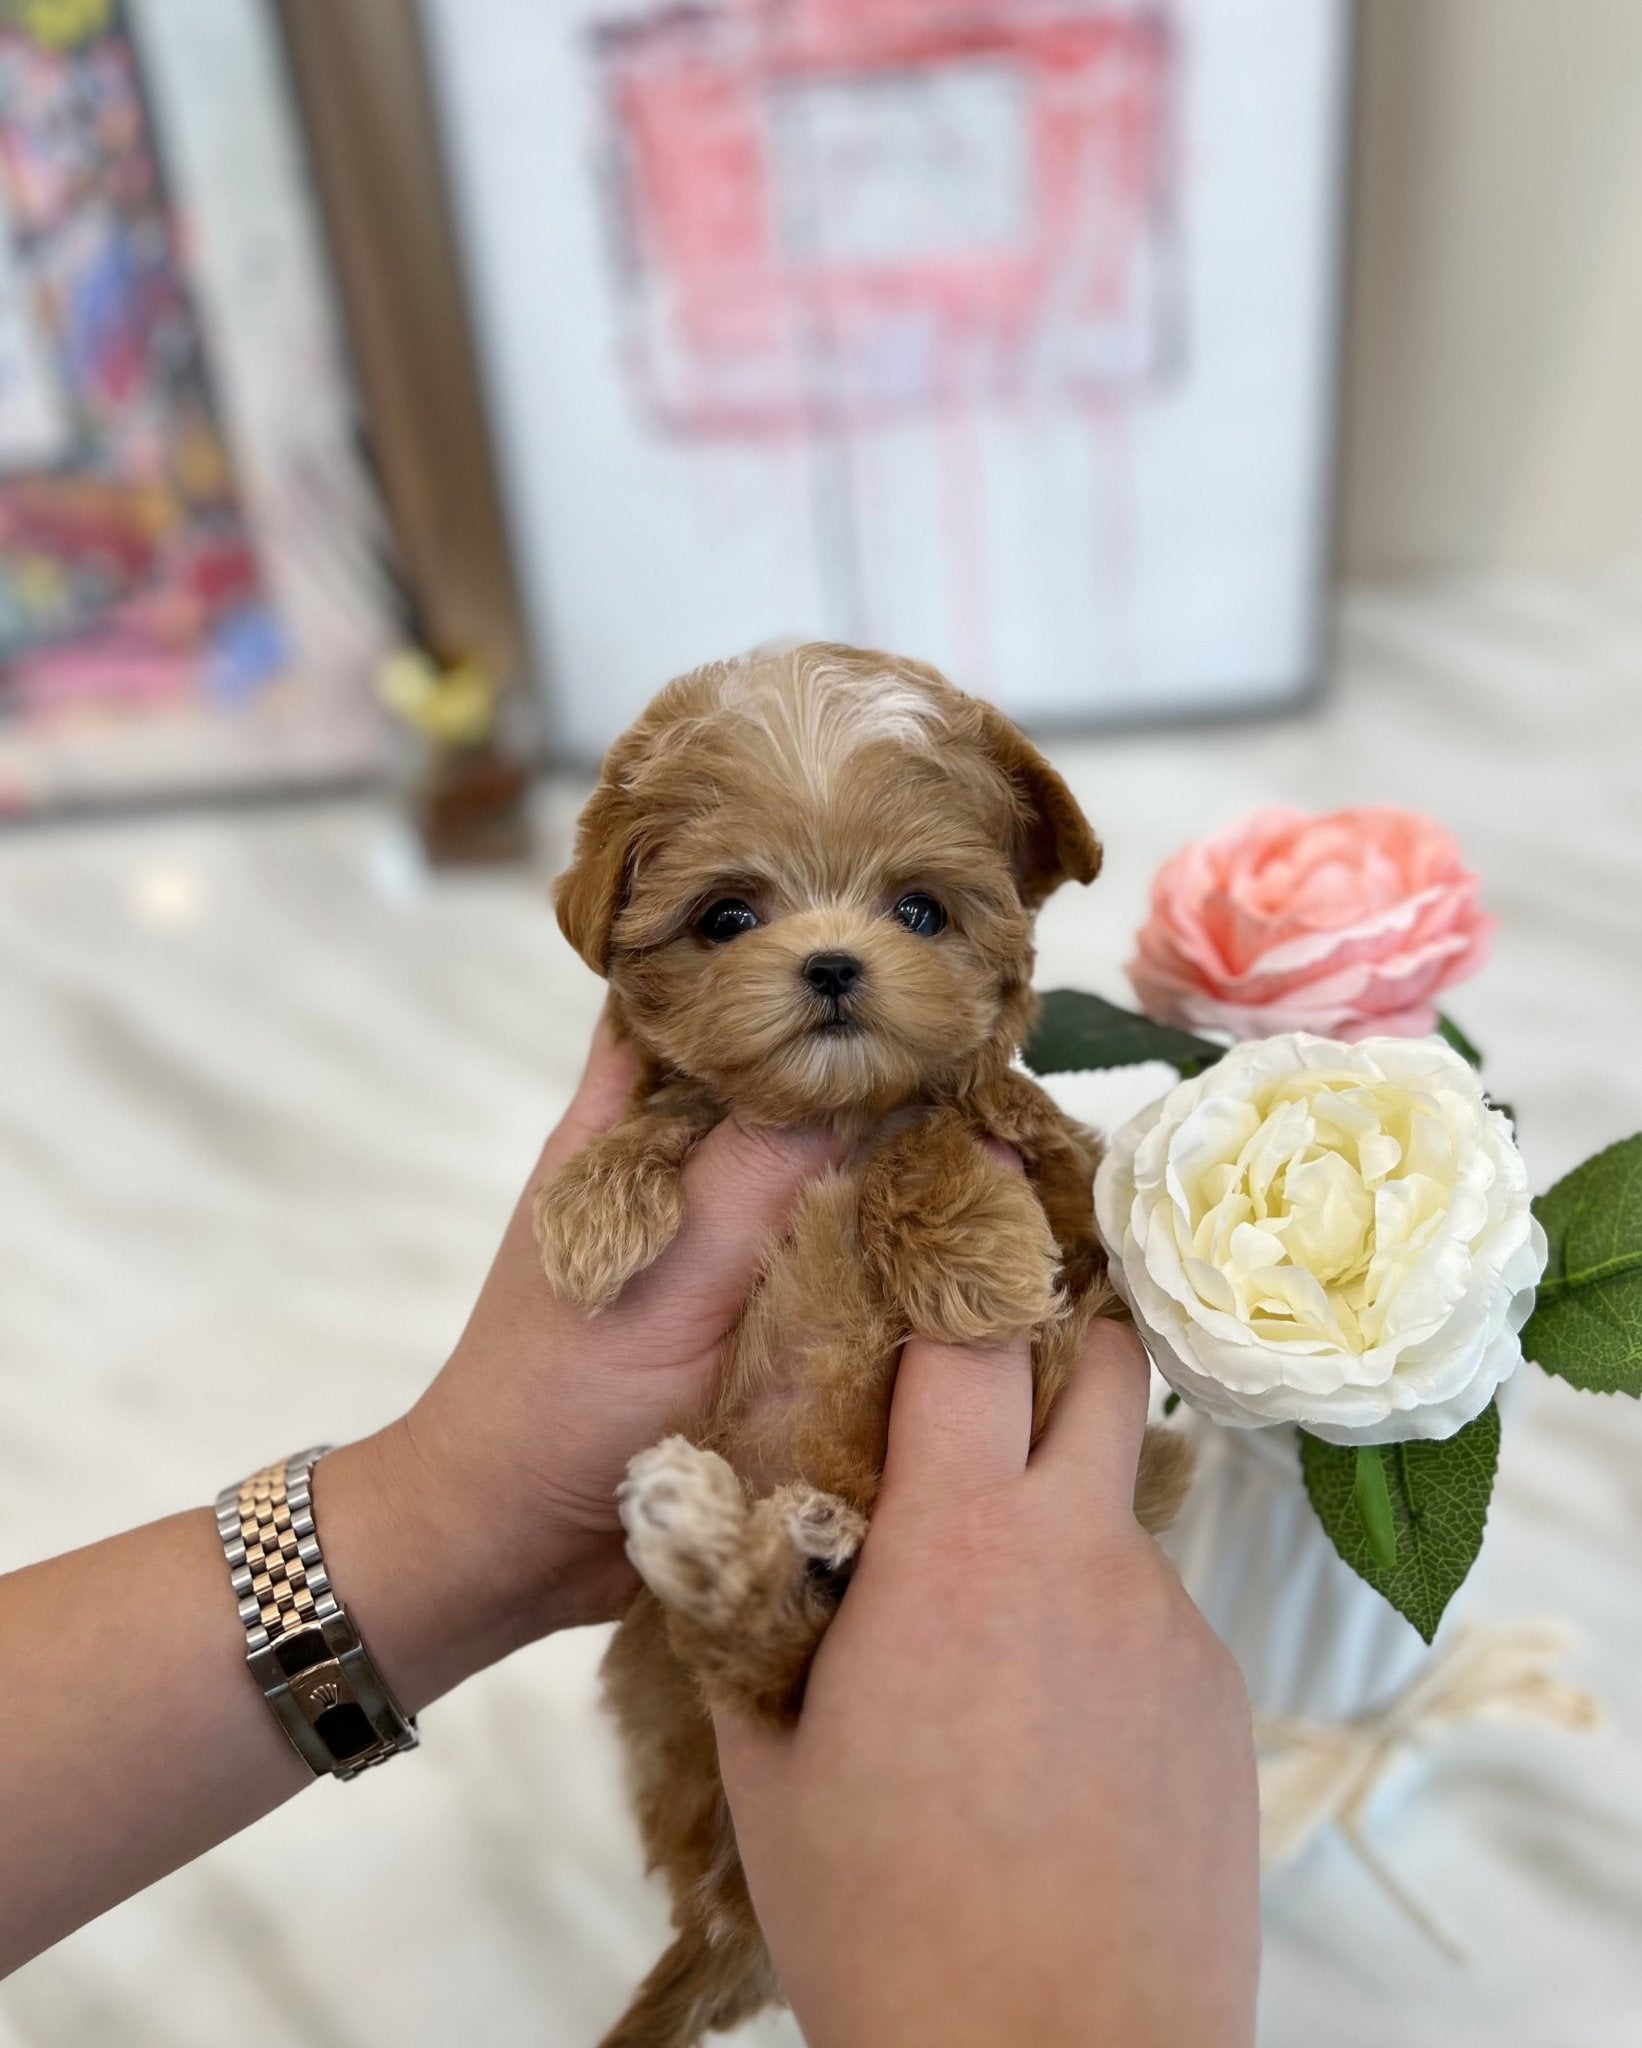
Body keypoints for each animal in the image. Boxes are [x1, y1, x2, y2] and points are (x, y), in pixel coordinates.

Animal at [536, 647, 1187, 2048]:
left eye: (920, 910)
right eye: (727, 914)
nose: (833, 964)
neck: (831, 1108)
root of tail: (727, 1922)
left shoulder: (1057, 1180)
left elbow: (955, 1118)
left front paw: (969, 1250)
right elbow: (676, 1108)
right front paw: (594, 1205)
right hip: (672, 1689)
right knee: (751, 1662)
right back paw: (731, 1534)